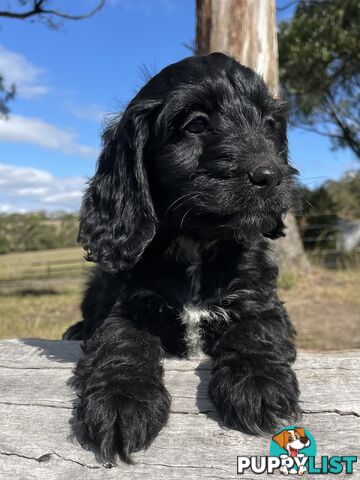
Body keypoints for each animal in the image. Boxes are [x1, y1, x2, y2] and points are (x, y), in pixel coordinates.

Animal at [65, 53, 300, 464]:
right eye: (197, 124)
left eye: (270, 124)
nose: (270, 175)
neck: (196, 244)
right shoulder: (123, 304)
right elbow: (120, 338)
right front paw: (121, 398)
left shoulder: (261, 298)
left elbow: (256, 328)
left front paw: (258, 382)